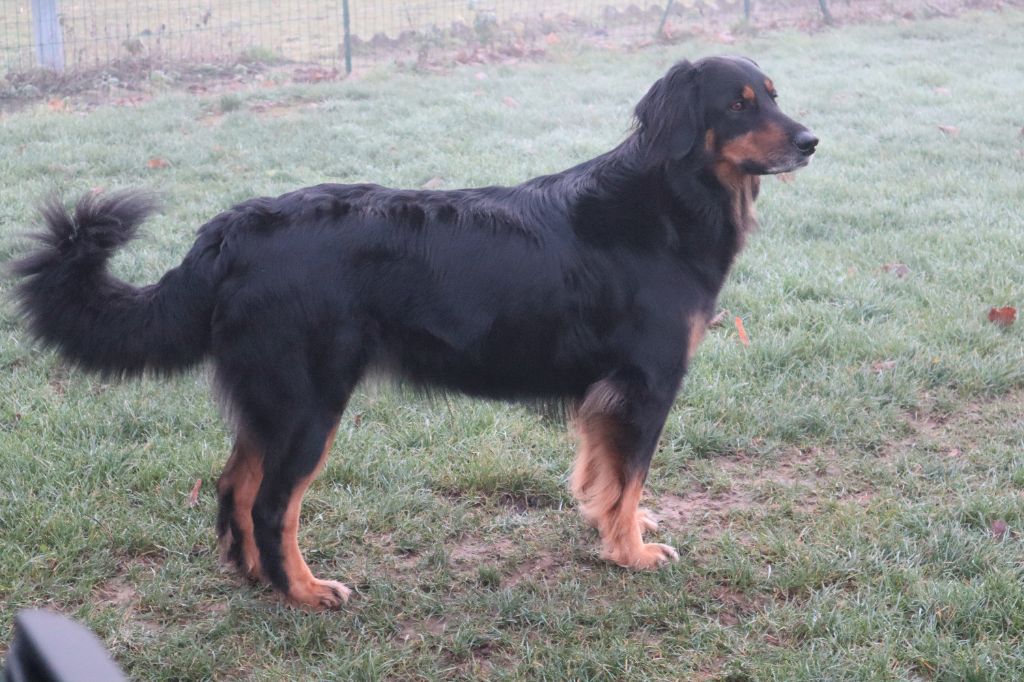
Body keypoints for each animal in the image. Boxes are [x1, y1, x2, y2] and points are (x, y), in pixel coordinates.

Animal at [12, 54, 815, 606]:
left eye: (774, 95)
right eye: (738, 105)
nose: (811, 140)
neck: (668, 199)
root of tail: (232, 229)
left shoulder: (603, 395)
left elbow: (603, 478)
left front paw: (619, 534)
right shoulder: (645, 383)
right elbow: (628, 476)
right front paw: (631, 554)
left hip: (273, 400)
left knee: (234, 486)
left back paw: (257, 579)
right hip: (310, 403)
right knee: (272, 504)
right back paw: (304, 592)